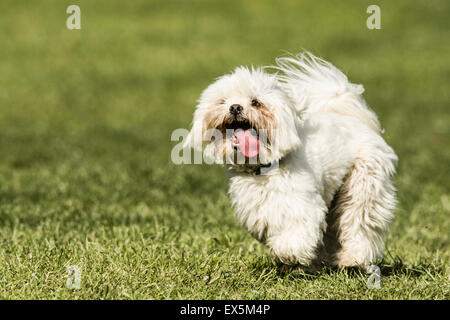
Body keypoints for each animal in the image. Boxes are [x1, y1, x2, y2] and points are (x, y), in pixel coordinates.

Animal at [185, 52, 396, 270]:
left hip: (363, 184)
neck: (263, 168)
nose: (235, 107)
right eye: (222, 101)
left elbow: (294, 237)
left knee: (360, 221)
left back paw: (352, 258)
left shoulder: (302, 207)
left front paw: (289, 254)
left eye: (256, 102)